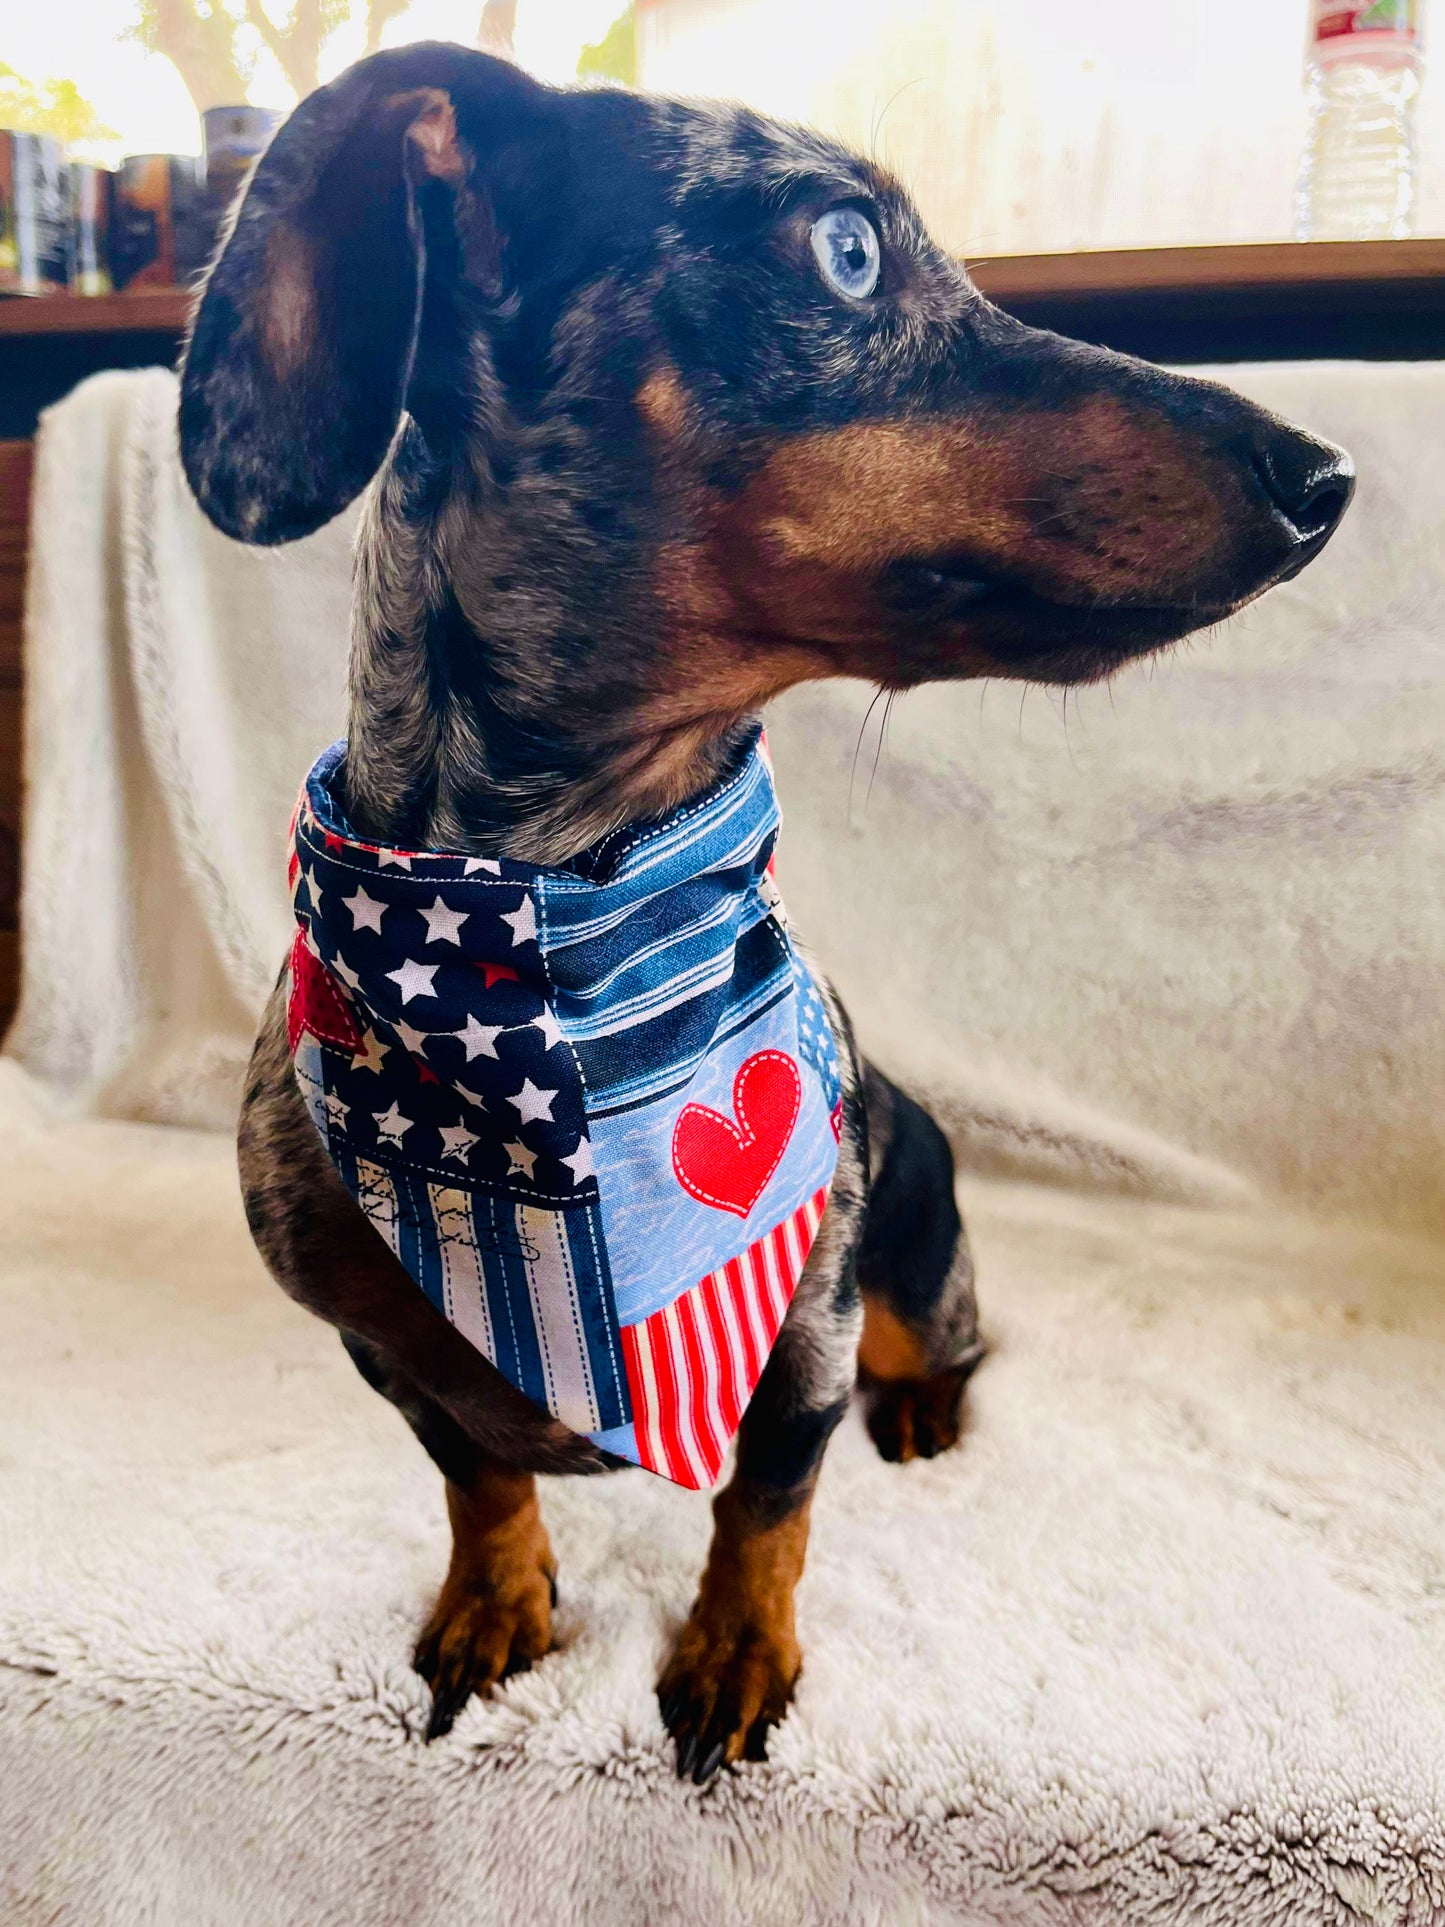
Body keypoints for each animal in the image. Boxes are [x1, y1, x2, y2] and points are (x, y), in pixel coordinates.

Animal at [175, 45, 1356, 1780]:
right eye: (846, 247)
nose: (1326, 476)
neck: (554, 934)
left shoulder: (793, 1330)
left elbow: (766, 1504)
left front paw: (735, 1651)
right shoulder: (382, 1350)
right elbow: (477, 1473)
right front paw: (495, 1597)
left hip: (918, 1239)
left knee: (946, 1337)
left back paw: (923, 1400)